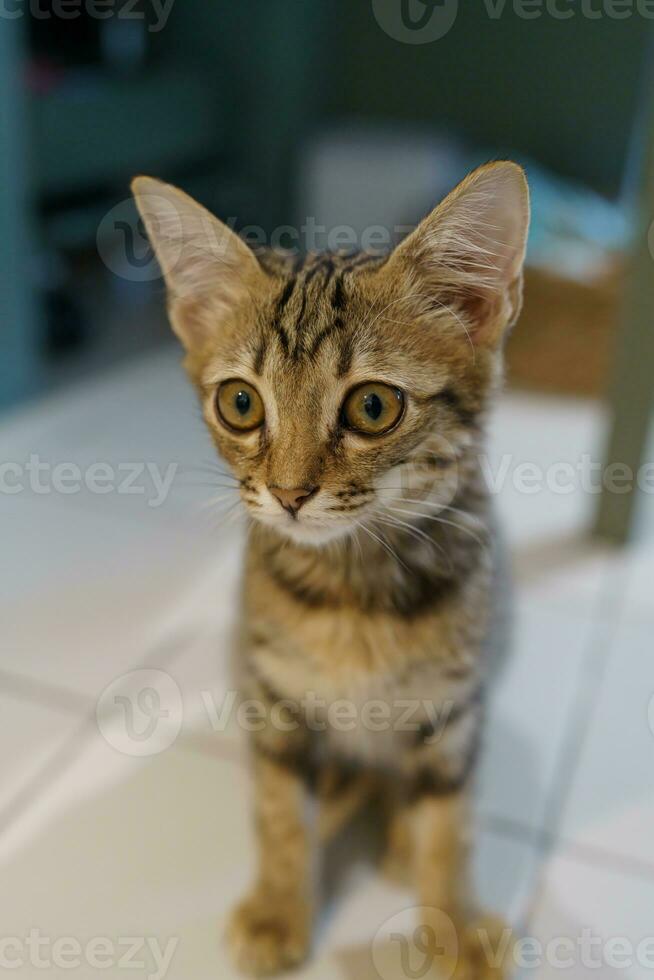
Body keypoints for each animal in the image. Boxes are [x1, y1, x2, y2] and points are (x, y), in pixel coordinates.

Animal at [133, 165, 532, 976]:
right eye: (241, 402)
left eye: (373, 407)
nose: (288, 494)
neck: (354, 593)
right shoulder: (275, 696)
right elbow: (281, 811)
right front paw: (280, 905)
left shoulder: (455, 705)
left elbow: (451, 822)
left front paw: (454, 925)